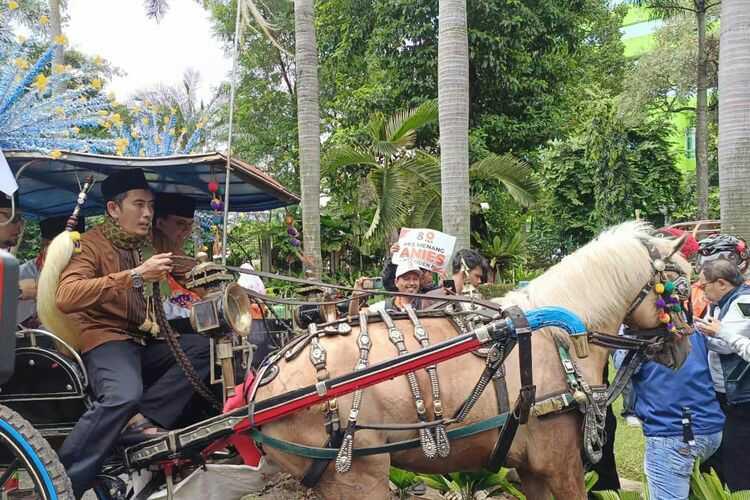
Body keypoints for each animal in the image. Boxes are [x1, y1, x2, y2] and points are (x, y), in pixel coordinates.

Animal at [258, 223, 692, 500]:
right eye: (682, 290)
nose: (684, 349)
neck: (556, 334)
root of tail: (262, 383)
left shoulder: (531, 469)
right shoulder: (562, 465)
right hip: (356, 477)